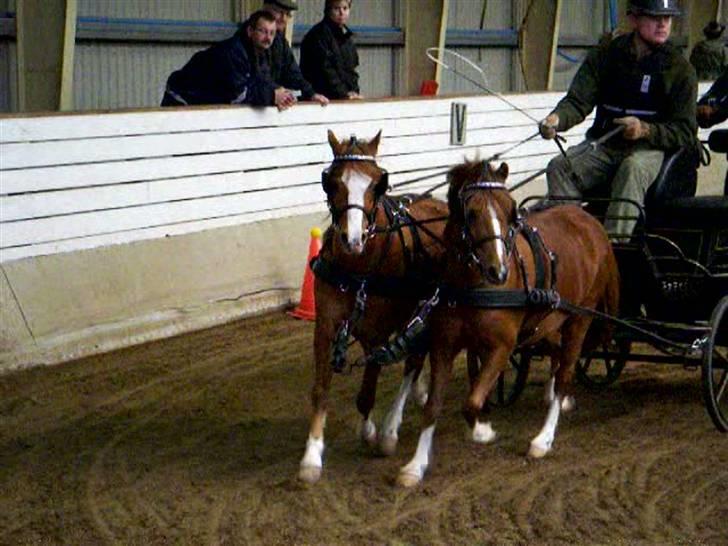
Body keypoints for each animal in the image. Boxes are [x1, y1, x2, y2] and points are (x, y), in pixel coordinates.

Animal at [298, 131, 450, 480]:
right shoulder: (325, 325)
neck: (358, 267)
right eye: (331, 181)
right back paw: (419, 393)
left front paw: (369, 432)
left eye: (378, 183)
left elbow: (366, 394)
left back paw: (390, 430)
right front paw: (312, 456)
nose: (352, 239)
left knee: (413, 362)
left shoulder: (376, 332)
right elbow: (320, 389)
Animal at [398, 160, 620, 484]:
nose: (499, 271)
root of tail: (591, 222)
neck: (472, 286)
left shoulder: (502, 347)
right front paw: (415, 465)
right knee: (557, 357)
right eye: (471, 213)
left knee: (566, 372)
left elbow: (472, 402)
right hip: (550, 320)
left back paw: (543, 438)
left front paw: (482, 430)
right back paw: (555, 398)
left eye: (510, 210)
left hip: (580, 317)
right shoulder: (444, 345)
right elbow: (433, 406)